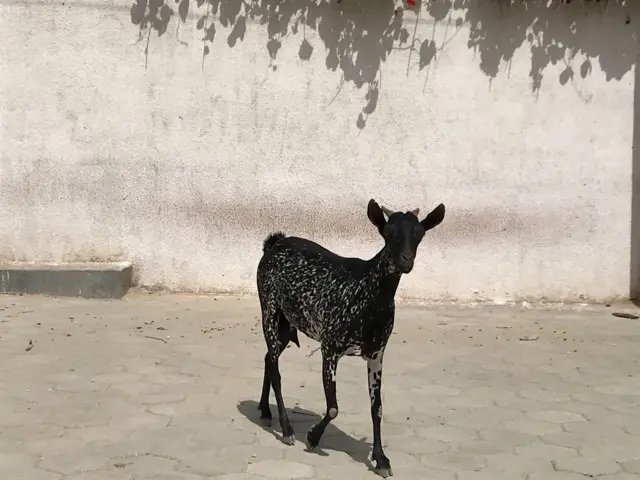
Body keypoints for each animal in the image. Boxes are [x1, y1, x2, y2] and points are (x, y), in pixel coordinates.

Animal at [255, 198, 444, 476]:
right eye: (388, 233)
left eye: (419, 234)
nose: (405, 260)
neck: (366, 293)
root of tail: (274, 243)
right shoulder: (330, 348)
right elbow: (333, 407)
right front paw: (312, 437)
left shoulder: (377, 354)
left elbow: (377, 408)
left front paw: (381, 459)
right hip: (268, 309)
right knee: (276, 370)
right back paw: (287, 429)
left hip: (286, 324)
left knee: (269, 357)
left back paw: (265, 411)